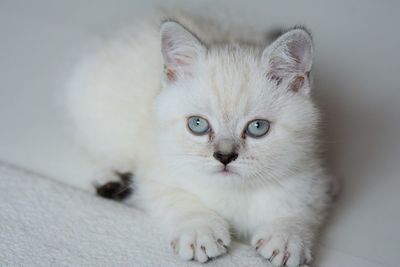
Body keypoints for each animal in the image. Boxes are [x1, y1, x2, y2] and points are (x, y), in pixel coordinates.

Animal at [67, 15, 332, 267]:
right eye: (197, 124)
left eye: (258, 127)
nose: (224, 156)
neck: (235, 193)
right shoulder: (158, 171)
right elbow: (179, 198)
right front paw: (199, 231)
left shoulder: (310, 178)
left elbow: (302, 210)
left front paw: (287, 237)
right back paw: (108, 179)